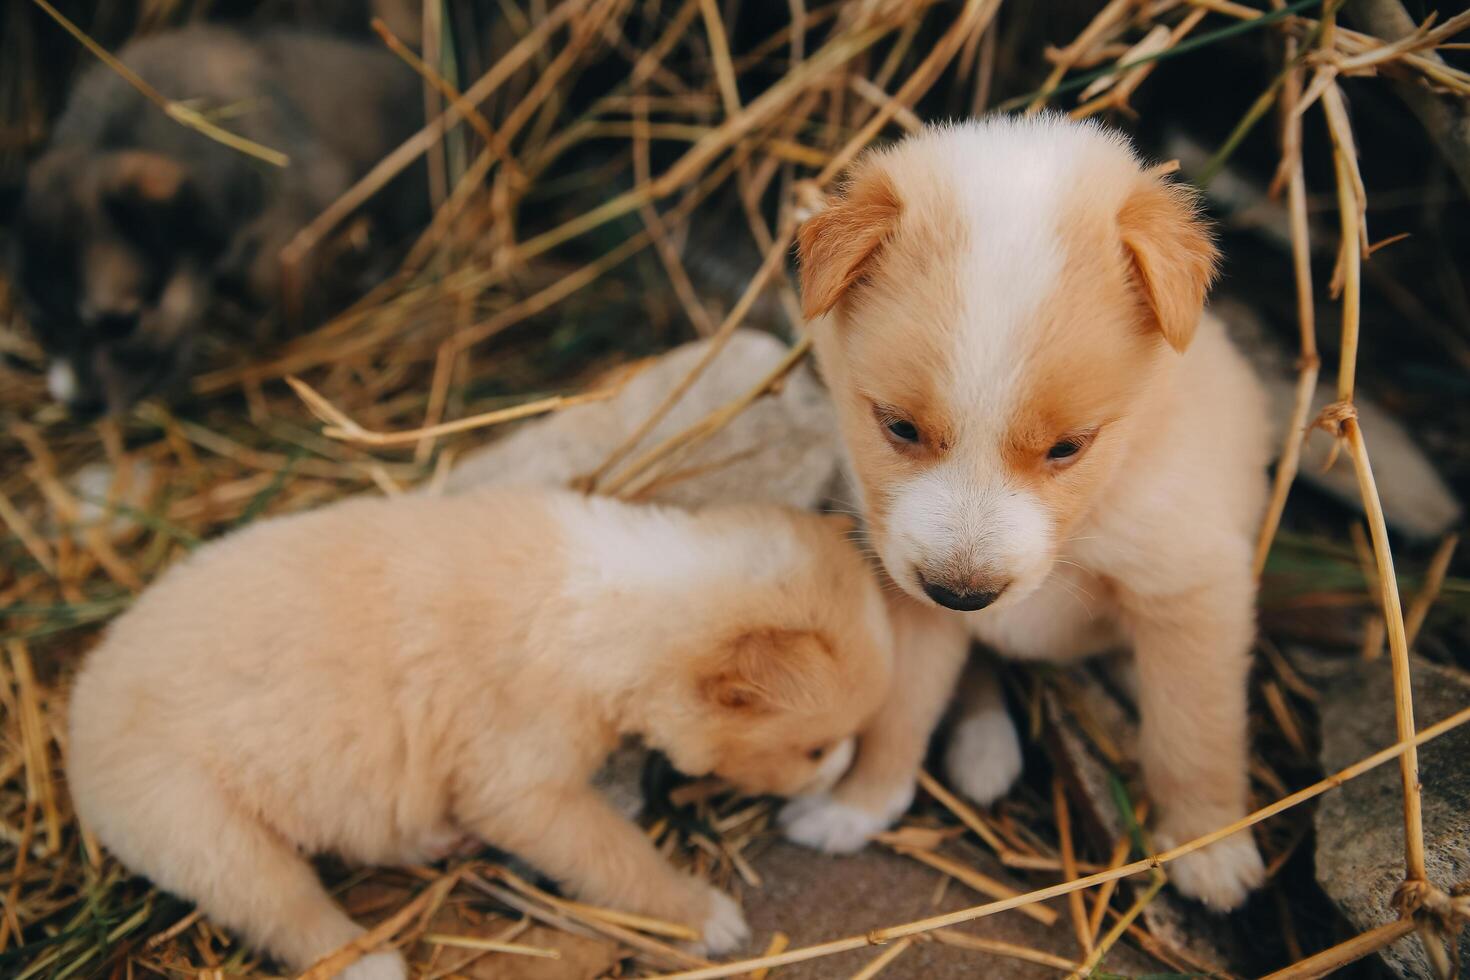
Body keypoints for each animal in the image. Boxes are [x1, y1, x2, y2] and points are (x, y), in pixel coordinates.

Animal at [69, 490, 887, 980]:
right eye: (816, 748)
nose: (841, 768)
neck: (616, 601)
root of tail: (75, 714)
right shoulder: (524, 788)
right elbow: (617, 856)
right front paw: (698, 912)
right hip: (203, 828)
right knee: (283, 905)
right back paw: (366, 962)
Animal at [782, 115, 1275, 910]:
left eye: (1069, 448)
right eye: (898, 427)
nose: (964, 594)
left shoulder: (1191, 586)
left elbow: (1194, 729)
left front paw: (1209, 845)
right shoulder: (909, 591)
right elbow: (899, 707)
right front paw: (857, 804)